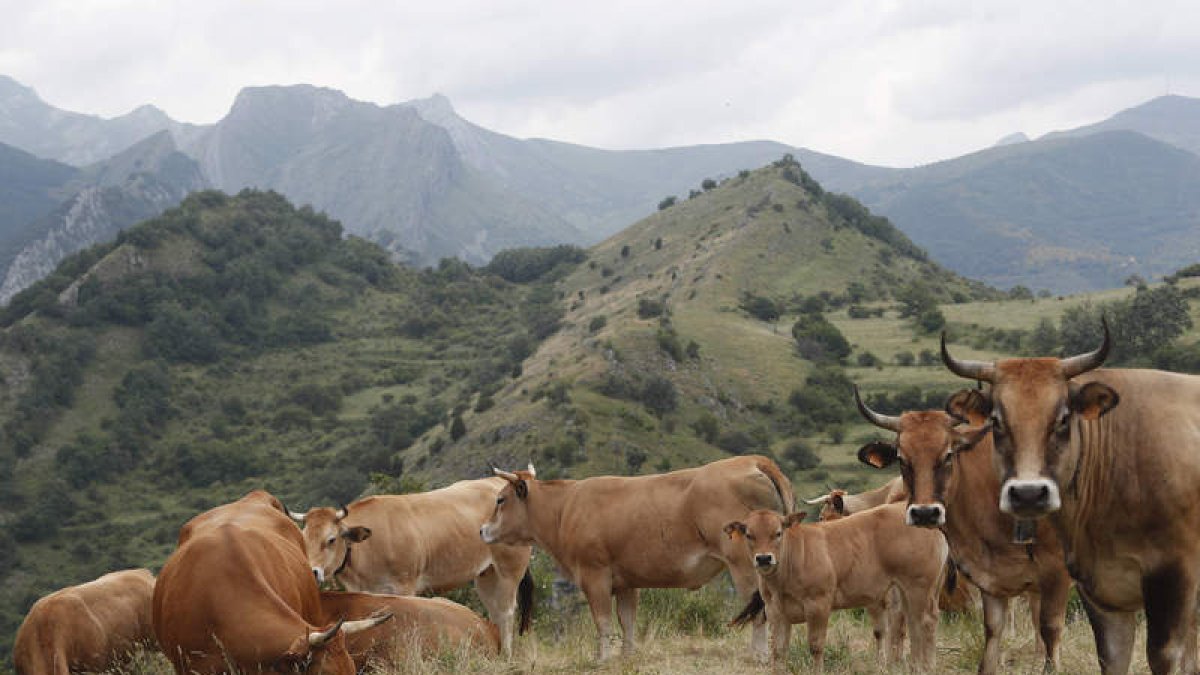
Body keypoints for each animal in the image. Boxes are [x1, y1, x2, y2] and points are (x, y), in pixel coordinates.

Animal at [290, 478, 533, 655]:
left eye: (331, 539)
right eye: (303, 538)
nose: (311, 571)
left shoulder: (404, 585)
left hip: (509, 569)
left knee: (506, 612)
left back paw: (506, 656)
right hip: (486, 574)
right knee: (494, 611)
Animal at [479, 456, 795, 660]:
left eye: (500, 499)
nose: (482, 530)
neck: (565, 507)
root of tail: (752, 460)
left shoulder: (594, 575)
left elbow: (603, 621)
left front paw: (603, 659)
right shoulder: (627, 582)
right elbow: (627, 620)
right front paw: (627, 656)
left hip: (747, 565)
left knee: (761, 608)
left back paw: (759, 655)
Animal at [726, 503, 946, 673]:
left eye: (778, 533)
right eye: (749, 535)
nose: (764, 558)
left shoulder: (818, 604)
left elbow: (815, 646)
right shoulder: (775, 611)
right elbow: (779, 651)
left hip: (919, 584)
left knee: (927, 621)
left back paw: (928, 667)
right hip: (907, 588)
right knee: (912, 623)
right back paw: (915, 667)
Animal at [854, 386, 1071, 674]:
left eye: (948, 454)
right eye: (901, 458)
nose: (925, 512)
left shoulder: (1056, 570)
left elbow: (1051, 628)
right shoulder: (990, 575)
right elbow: (993, 629)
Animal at [941, 322, 1200, 675]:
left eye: (1063, 418)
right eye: (996, 421)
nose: (1028, 494)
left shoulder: (1174, 578)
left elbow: (1164, 655)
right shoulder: (1100, 590)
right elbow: (1111, 657)